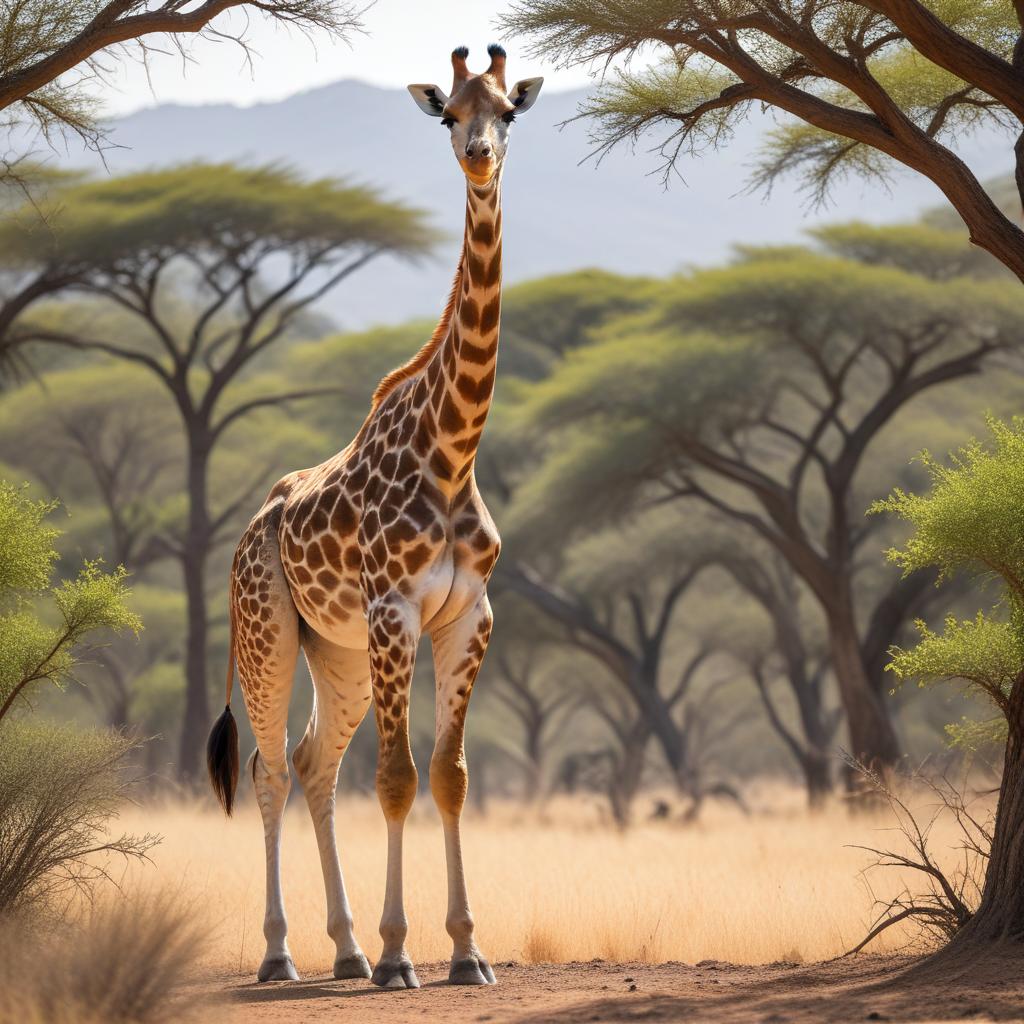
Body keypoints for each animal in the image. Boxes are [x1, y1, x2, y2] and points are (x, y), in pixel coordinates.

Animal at [205, 44, 544, 990]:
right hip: (270, 634)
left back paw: (346, 948)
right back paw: (283, 953)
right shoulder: (396, 611)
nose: (478, 156)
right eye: (448, 114)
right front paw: (403, 956)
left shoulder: (470, 614)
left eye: (509, 110)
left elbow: (450, 775)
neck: (454, 449)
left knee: (316, 764)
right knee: (271, 767)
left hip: (341, 652)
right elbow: (396, 778)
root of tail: (249, 529)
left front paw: (466, 952)